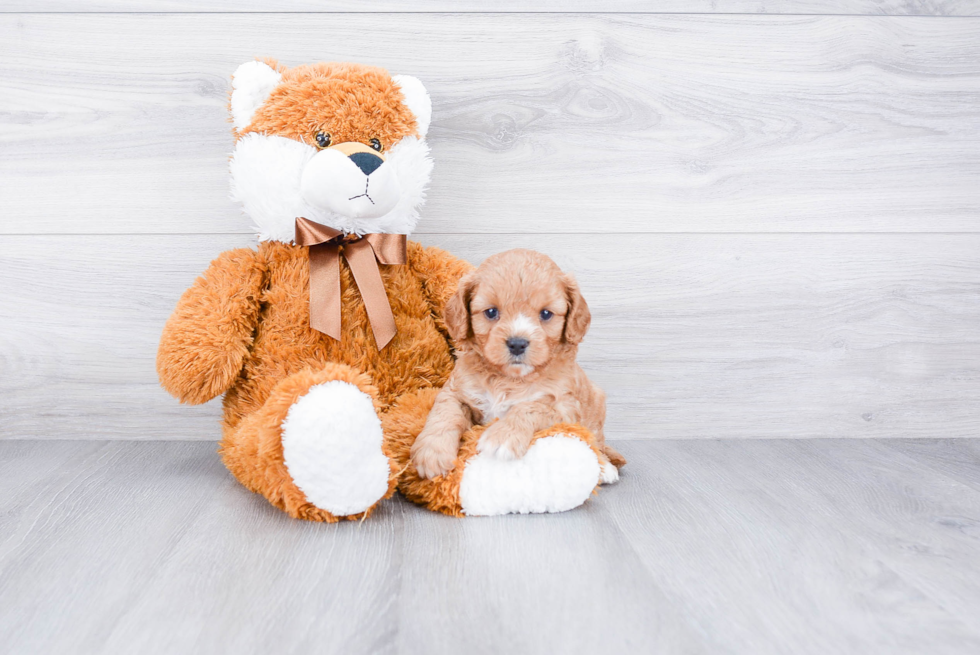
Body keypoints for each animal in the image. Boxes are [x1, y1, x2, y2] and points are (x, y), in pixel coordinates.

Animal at [408, 249, 624, 484]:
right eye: (491, 312)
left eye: (546, 314)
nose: (517, 343)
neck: (509, 378)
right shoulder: (456, 391)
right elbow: (444, 413)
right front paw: (432, 452)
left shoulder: (565, 408)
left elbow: (529, 407)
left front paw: (503, 435)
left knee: (596, 442)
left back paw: (605, 467)